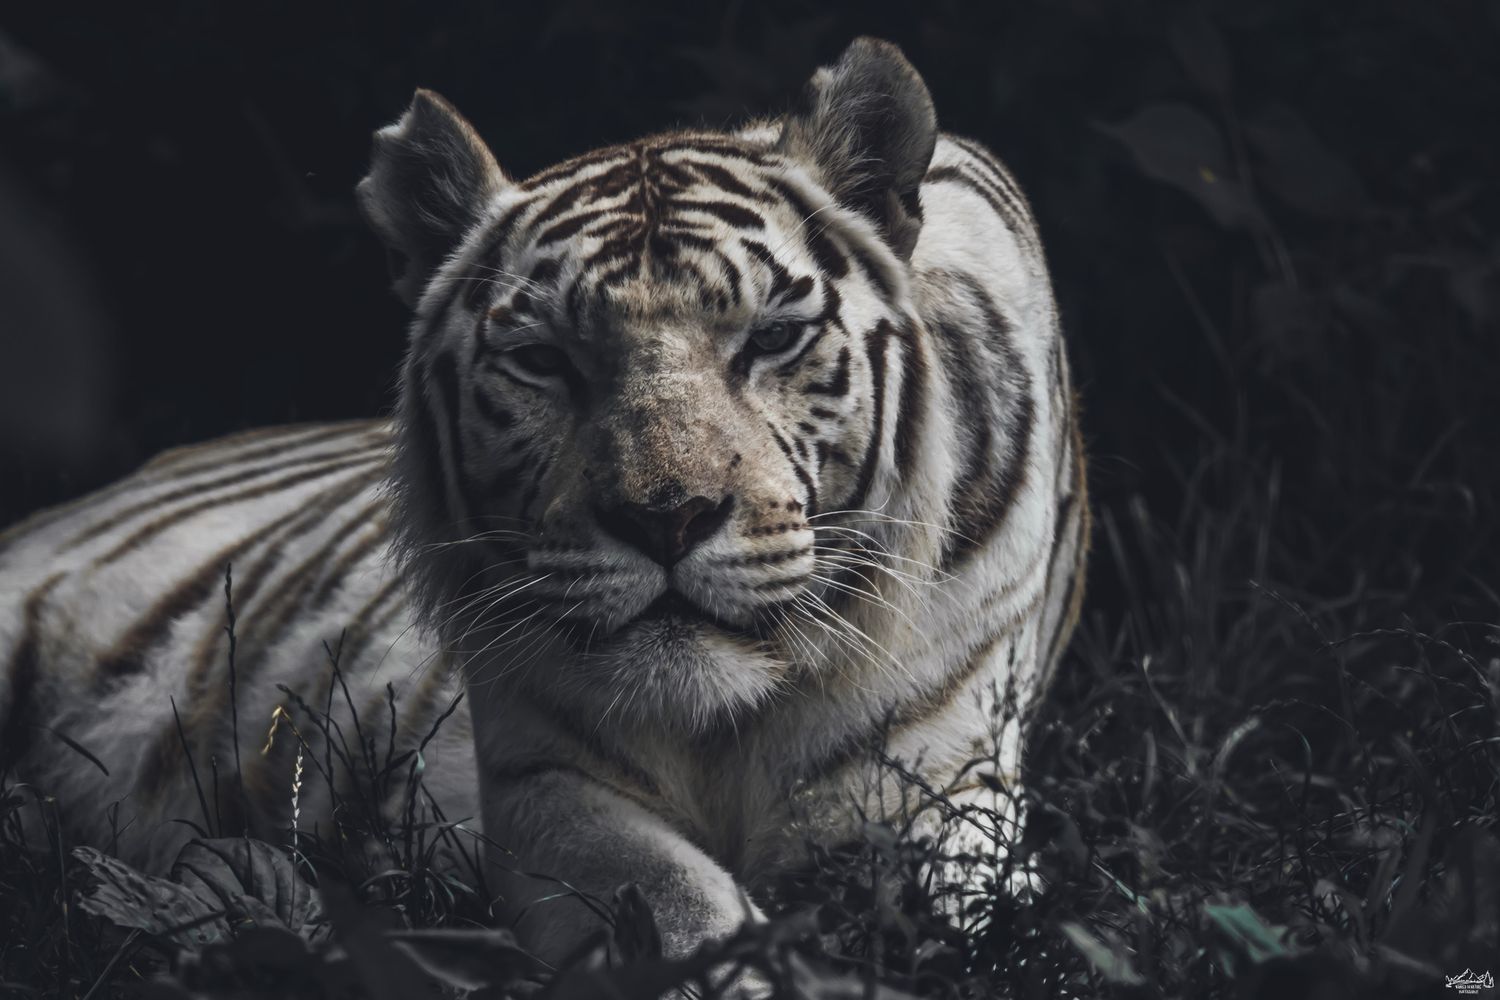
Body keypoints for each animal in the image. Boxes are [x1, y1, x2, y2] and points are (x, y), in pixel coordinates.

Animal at [0, 38, 1088, 965]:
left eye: (772, 339)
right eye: (542, 361)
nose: (669, 517)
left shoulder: (935, 789)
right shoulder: (548, 789)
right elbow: (677, 907)